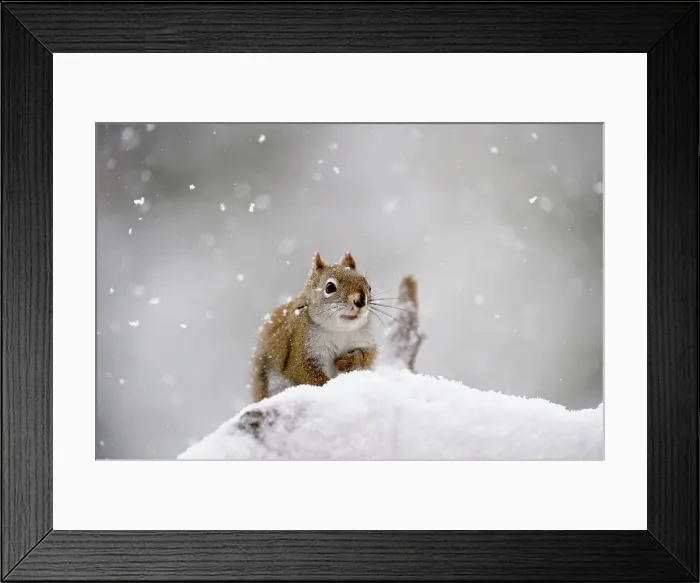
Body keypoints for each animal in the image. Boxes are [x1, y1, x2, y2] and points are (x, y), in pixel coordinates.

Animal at [251, 250, 377, 402]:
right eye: (329, 287)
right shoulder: (300, 348)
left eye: (369, 287)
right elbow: (304, 373)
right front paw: (328, 386)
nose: (360, 300)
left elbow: (366, 357)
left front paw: (347, 362)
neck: (339, 331)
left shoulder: (364, 340)